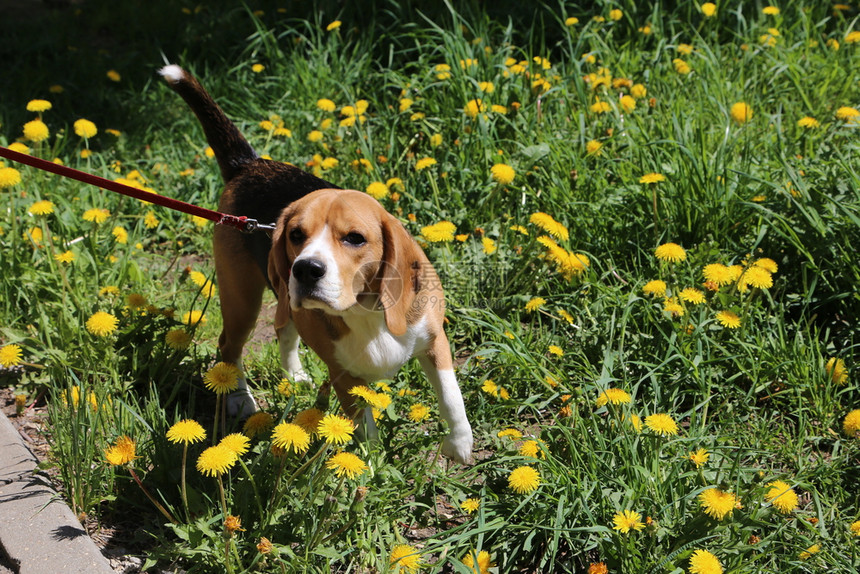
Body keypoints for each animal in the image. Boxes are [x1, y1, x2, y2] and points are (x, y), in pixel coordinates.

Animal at [158, 65, 474, 466]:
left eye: (354, 238)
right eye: (296, 234)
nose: (306, 269)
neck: (366, 309)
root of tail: (250, 165)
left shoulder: (436, 342)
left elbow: (452, 397)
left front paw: (460, 445)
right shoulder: (344, 376)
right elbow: (367, 432)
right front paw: (369, 468)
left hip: (278, 299)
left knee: (284, 329)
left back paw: (294, 375)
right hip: (243, 298)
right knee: (229, 347)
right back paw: (240, 400)